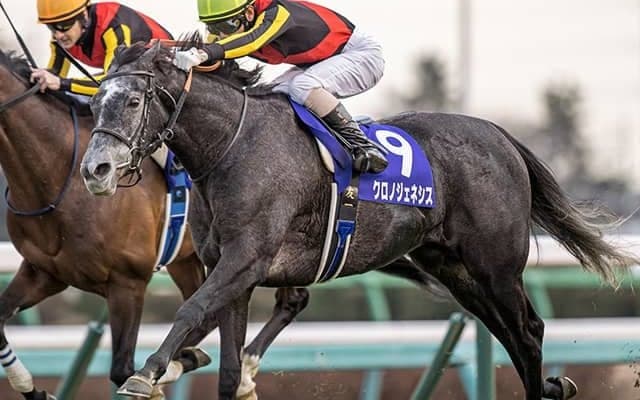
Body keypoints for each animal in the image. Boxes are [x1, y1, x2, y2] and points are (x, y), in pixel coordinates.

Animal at [79, 39, 640, 400]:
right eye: (95, 100)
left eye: (133, 99)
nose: (95, 169)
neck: (231, 147)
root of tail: (500, 134)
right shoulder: (232, 272)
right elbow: (228, 365)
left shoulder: (246, 258)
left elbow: (191, 310)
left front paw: (149, 371)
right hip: (454, 268)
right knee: (507, 332)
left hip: (496, 265)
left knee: (528, 330)